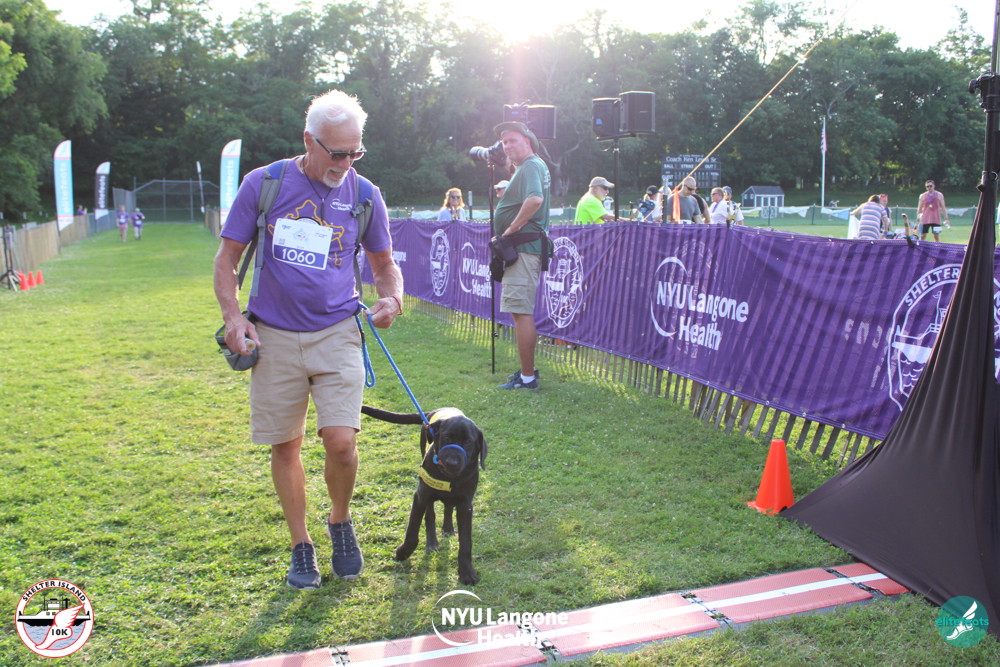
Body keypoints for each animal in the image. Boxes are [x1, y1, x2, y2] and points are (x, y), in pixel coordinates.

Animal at [360, 405, 487, 585]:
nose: (451, 463)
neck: (448, 478)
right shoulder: (420, 496)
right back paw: (432, 543)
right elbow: (412, 531)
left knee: (448, 506)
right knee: (430, 515)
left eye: (468, 442)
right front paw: (403, 552)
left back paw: (447, 528)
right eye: (447, 437)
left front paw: (467, 572)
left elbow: (466, 543)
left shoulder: (466, 505)